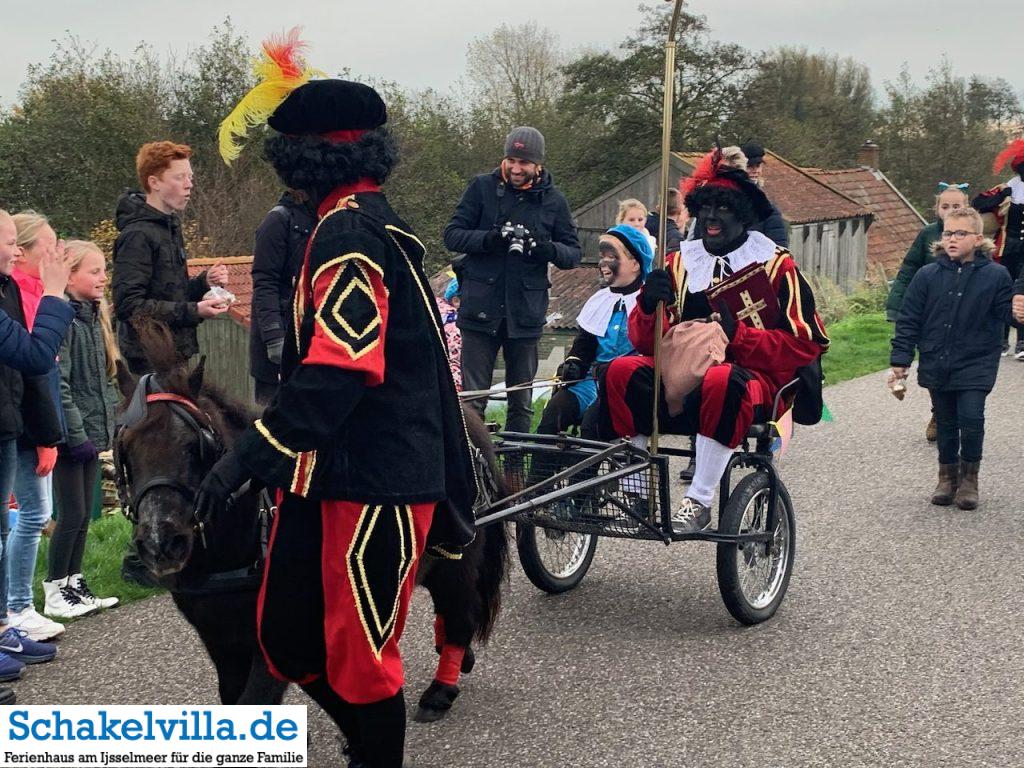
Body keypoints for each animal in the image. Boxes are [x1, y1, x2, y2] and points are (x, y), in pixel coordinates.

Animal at [116, 321, 507, 720]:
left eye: (194, 445)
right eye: (125, 449)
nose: (160, 542)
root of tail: (472, 421)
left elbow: (255, 699)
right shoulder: (220, 642)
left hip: (458, 559)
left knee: (460, 611)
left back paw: (441, 688)